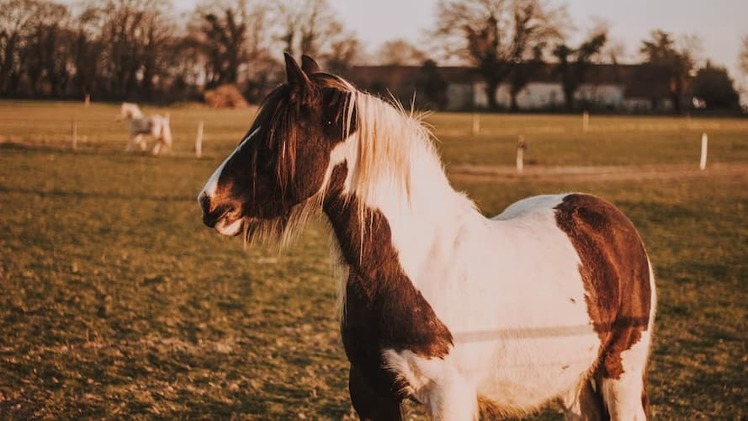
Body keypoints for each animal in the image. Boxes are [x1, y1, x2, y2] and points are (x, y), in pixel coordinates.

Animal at [197, 53, 656, 420]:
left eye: (275, 137)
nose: (209, 201)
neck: (413, 266)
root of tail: (612, 220)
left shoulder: (449, 397)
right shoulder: (371, 393)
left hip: (619, 373)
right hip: (574, 383)